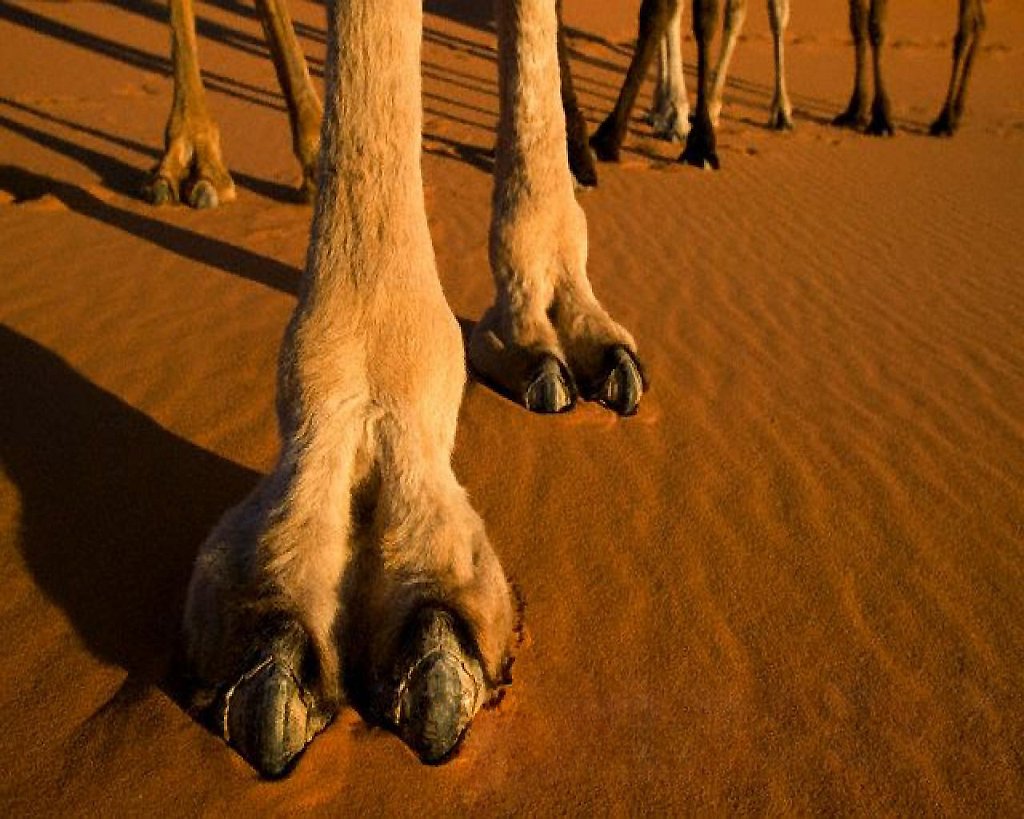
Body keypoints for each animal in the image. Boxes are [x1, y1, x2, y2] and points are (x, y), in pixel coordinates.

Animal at [590, 0, 793, 170]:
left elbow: (705, 19)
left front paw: (701, 144)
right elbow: (655, 12)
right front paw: (607, 140)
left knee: (774, 13)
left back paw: (780, 111)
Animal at [833, 0, 986, 136]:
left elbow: (875, 27)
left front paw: (881, 120)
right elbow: (858, 23)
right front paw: (854, 112)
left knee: (964, 31)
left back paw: (945, 121)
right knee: (980, 23)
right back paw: (956, 113)